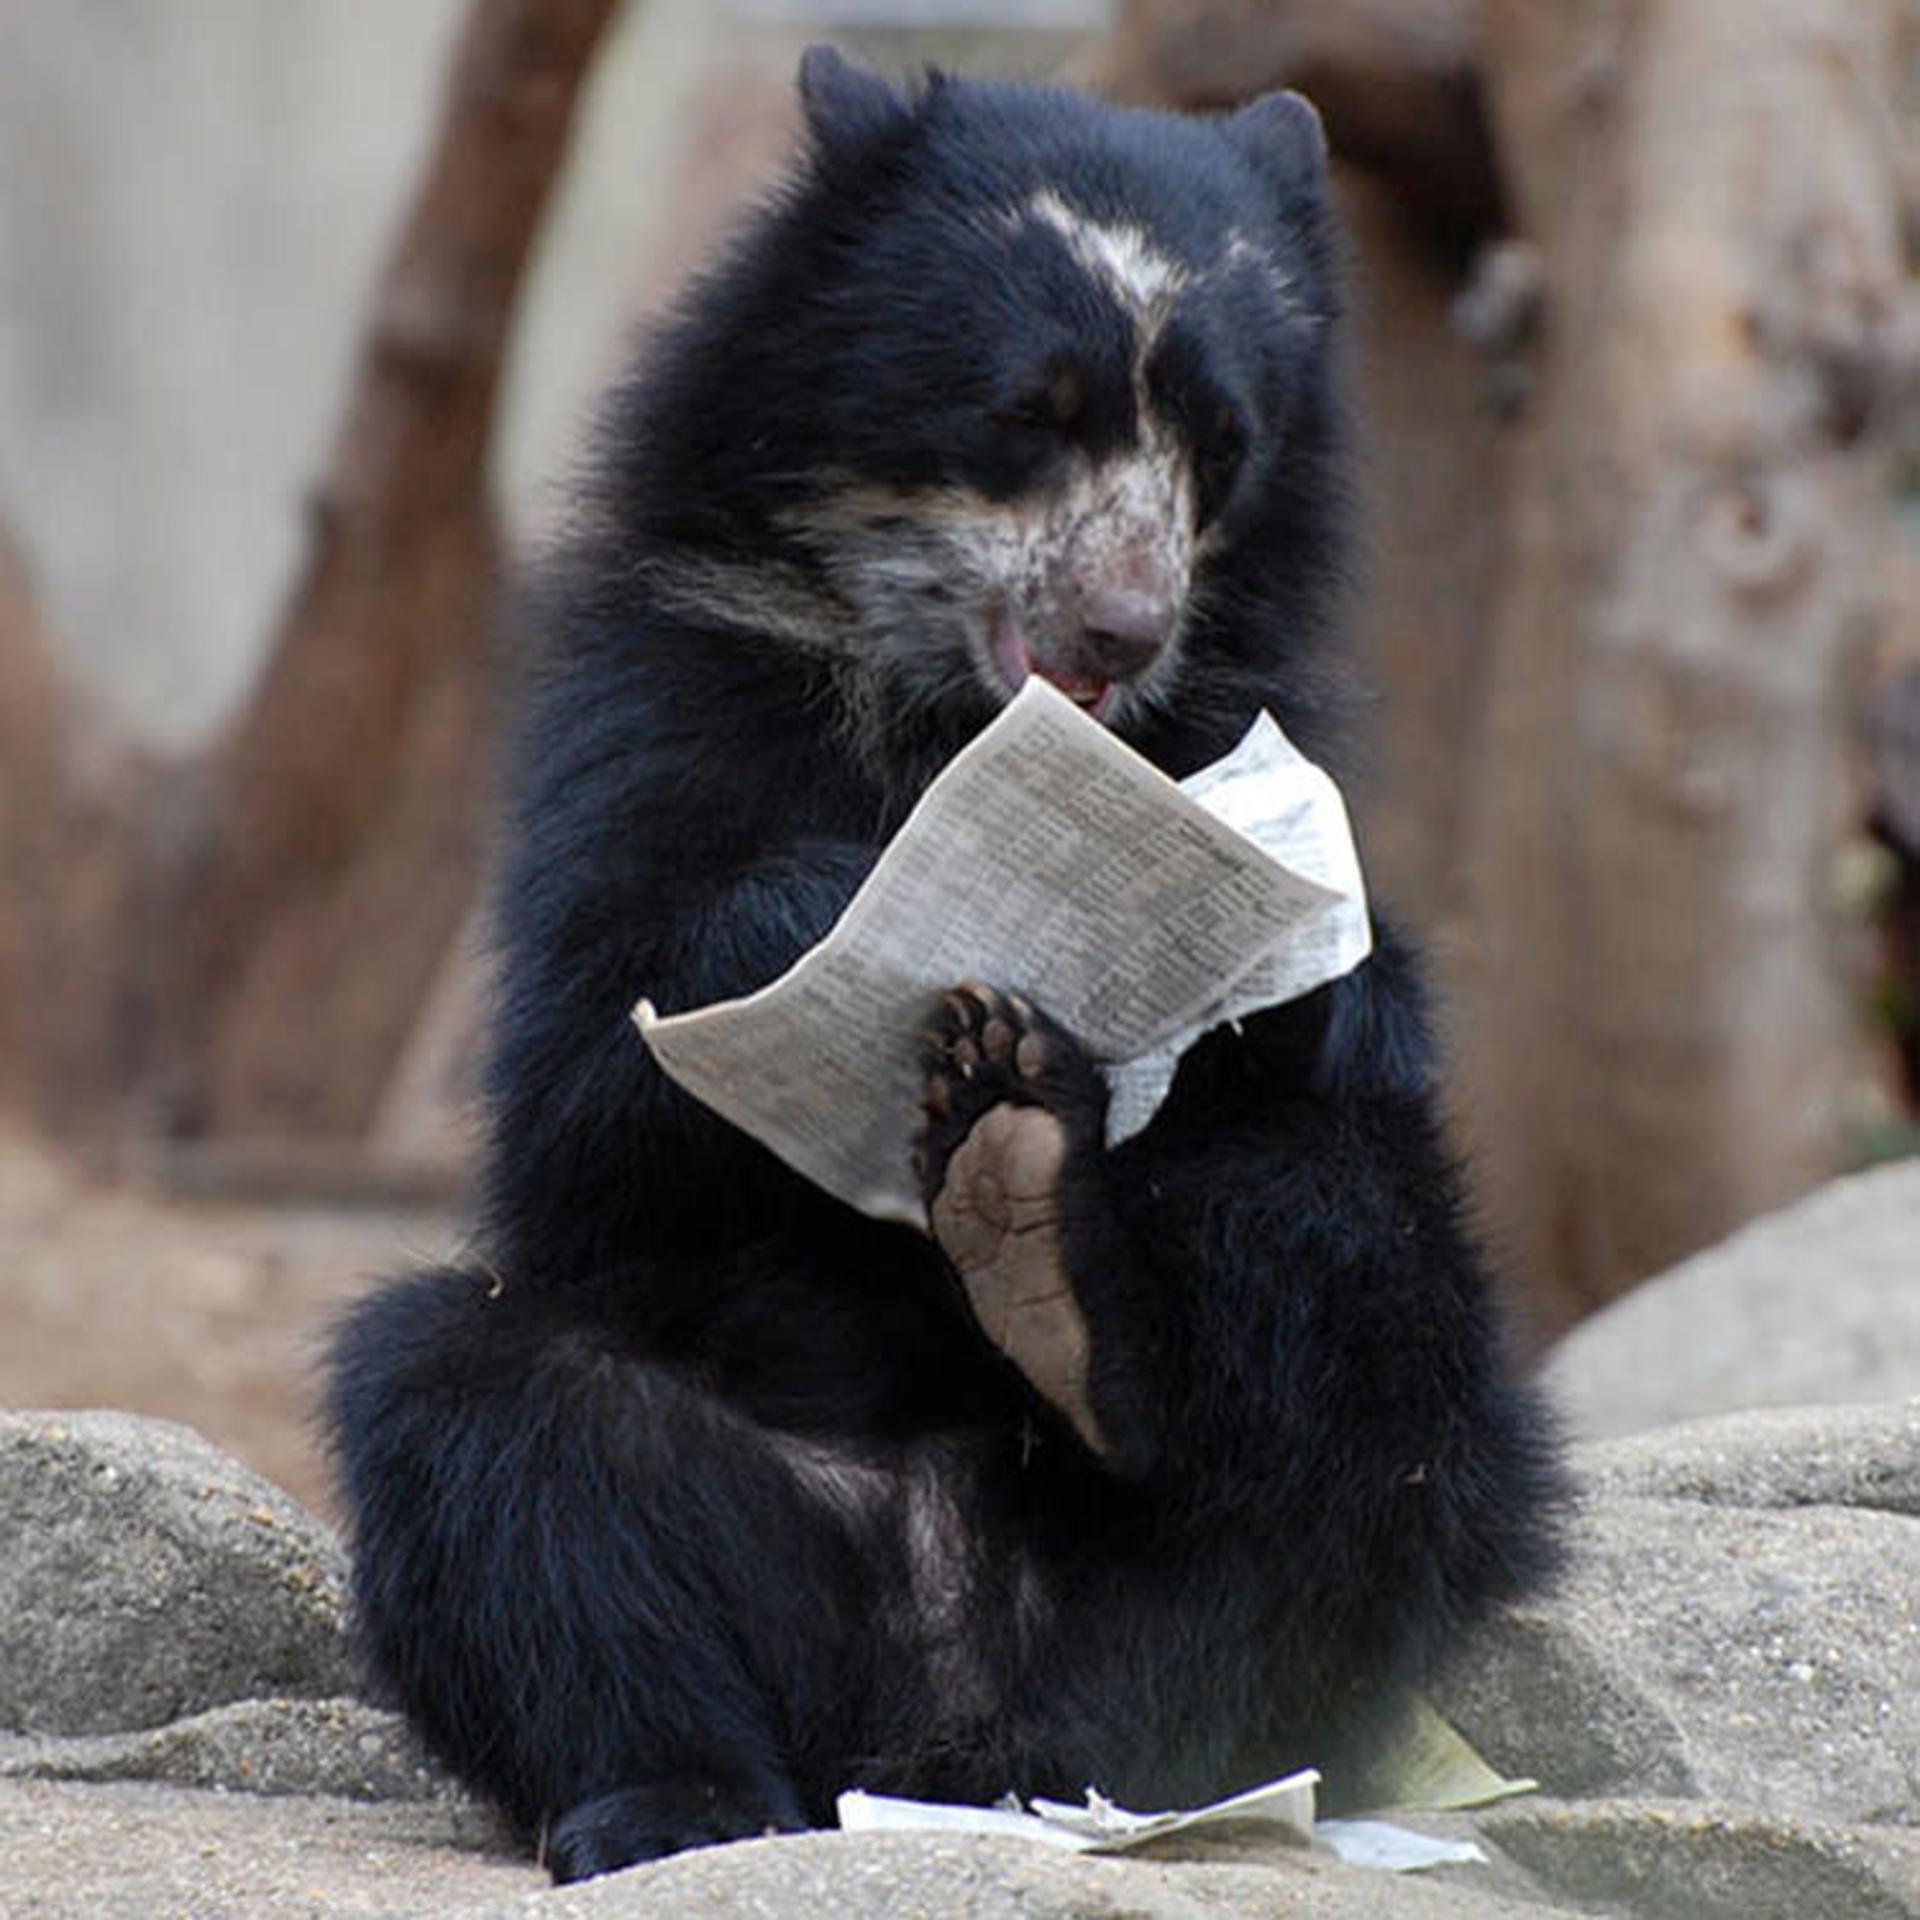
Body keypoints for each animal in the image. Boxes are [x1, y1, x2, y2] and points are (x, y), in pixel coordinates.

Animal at [326, 48, 1561, 1885]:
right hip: (728, 1548)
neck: (948, 713)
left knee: (1374, 1331)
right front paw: (840, 911)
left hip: (1280, 1555)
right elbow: (579, 1081)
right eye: (1030, 415)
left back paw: (1040, 1237)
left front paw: (1326, 974)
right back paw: (668, 1799)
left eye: (1220, 448)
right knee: (484, 1422)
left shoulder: (1256, 709)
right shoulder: (647, 698)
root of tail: (963, 1730)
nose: (1125, 629)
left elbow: (1343, 1032)